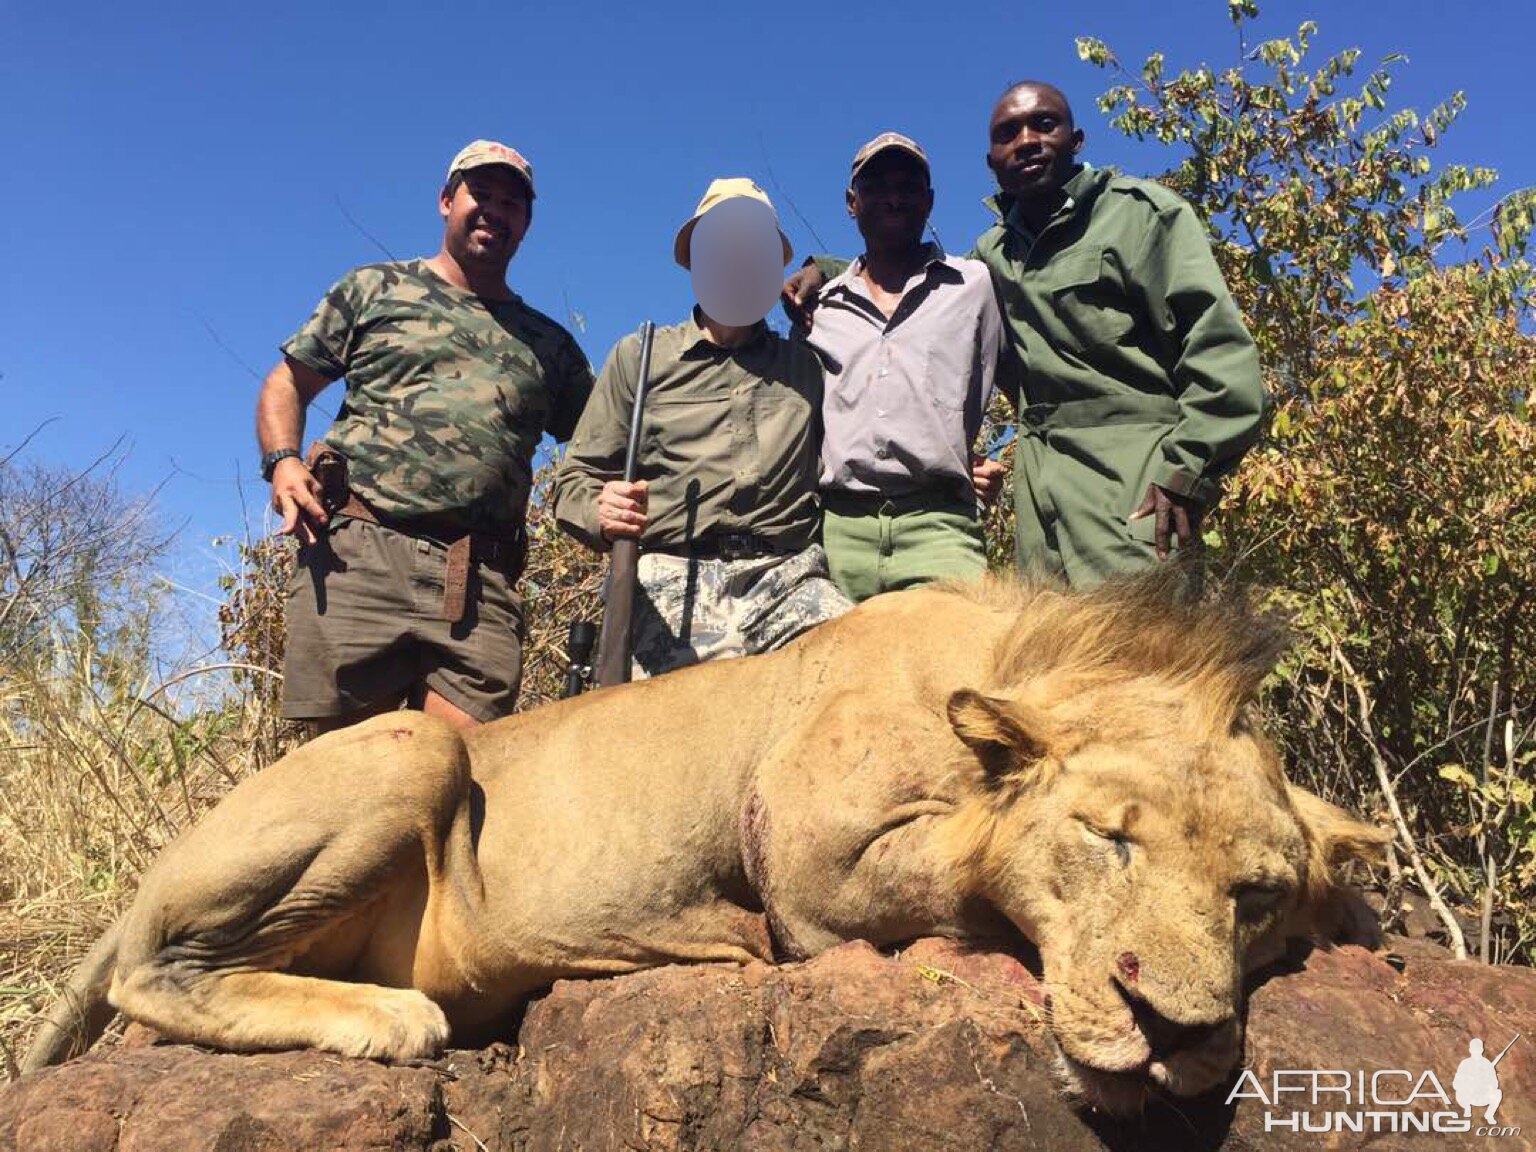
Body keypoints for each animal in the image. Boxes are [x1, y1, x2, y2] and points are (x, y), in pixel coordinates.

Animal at [24, 574, 1388, 1112]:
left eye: (1255, 896)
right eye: (1108, 839)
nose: (1181, 1034)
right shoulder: (809, 865)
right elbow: (957, 867)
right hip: (411, 748)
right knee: (155, 977)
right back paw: (391, 1021)